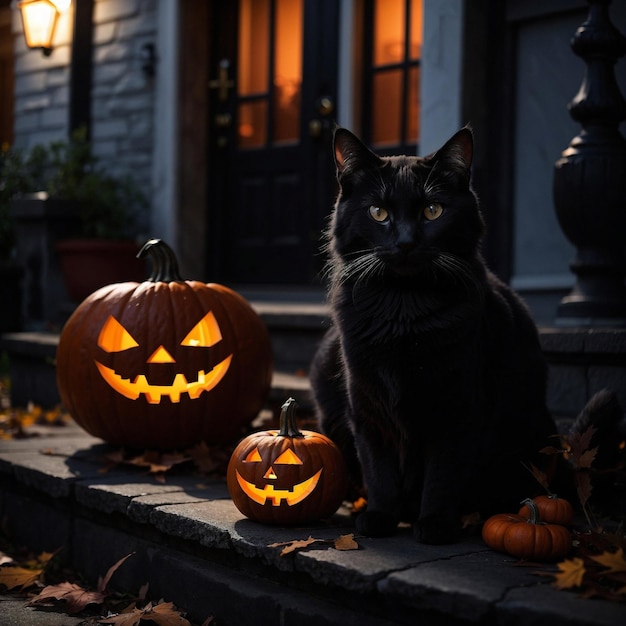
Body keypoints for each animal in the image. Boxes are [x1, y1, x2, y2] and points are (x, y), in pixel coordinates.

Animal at [310, 125, 604, 540]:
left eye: (433, 211)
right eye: (378, 213)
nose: (405, 242)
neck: (404, 310)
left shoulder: (459, 406)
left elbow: (443, 472)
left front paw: (435, 524)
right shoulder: (366, 409)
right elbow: (379, 470)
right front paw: (380, 516)